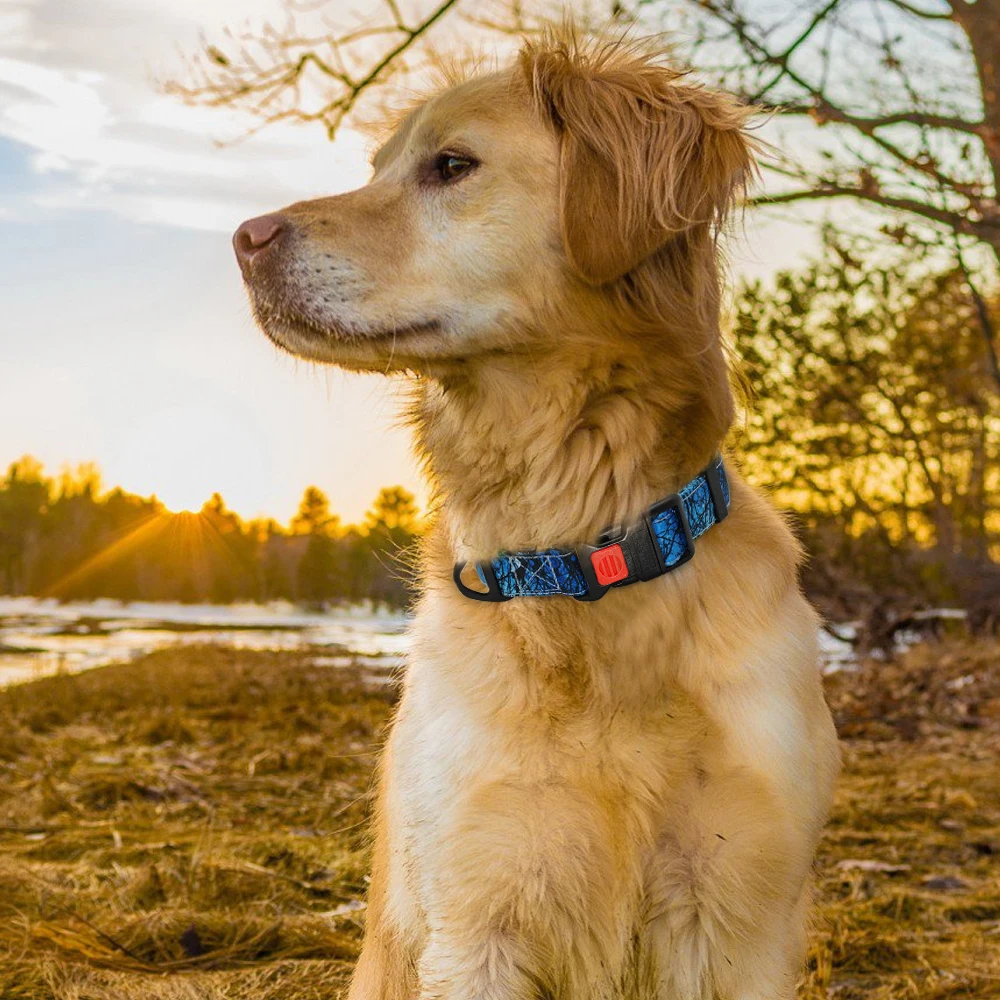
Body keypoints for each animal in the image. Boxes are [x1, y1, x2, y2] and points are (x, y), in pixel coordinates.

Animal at [232, 27, 836, 996]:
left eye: (450, 165)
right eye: (376, 168)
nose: (243, 240)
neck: (581, 562)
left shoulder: (742, 906)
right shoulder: (478, 908)